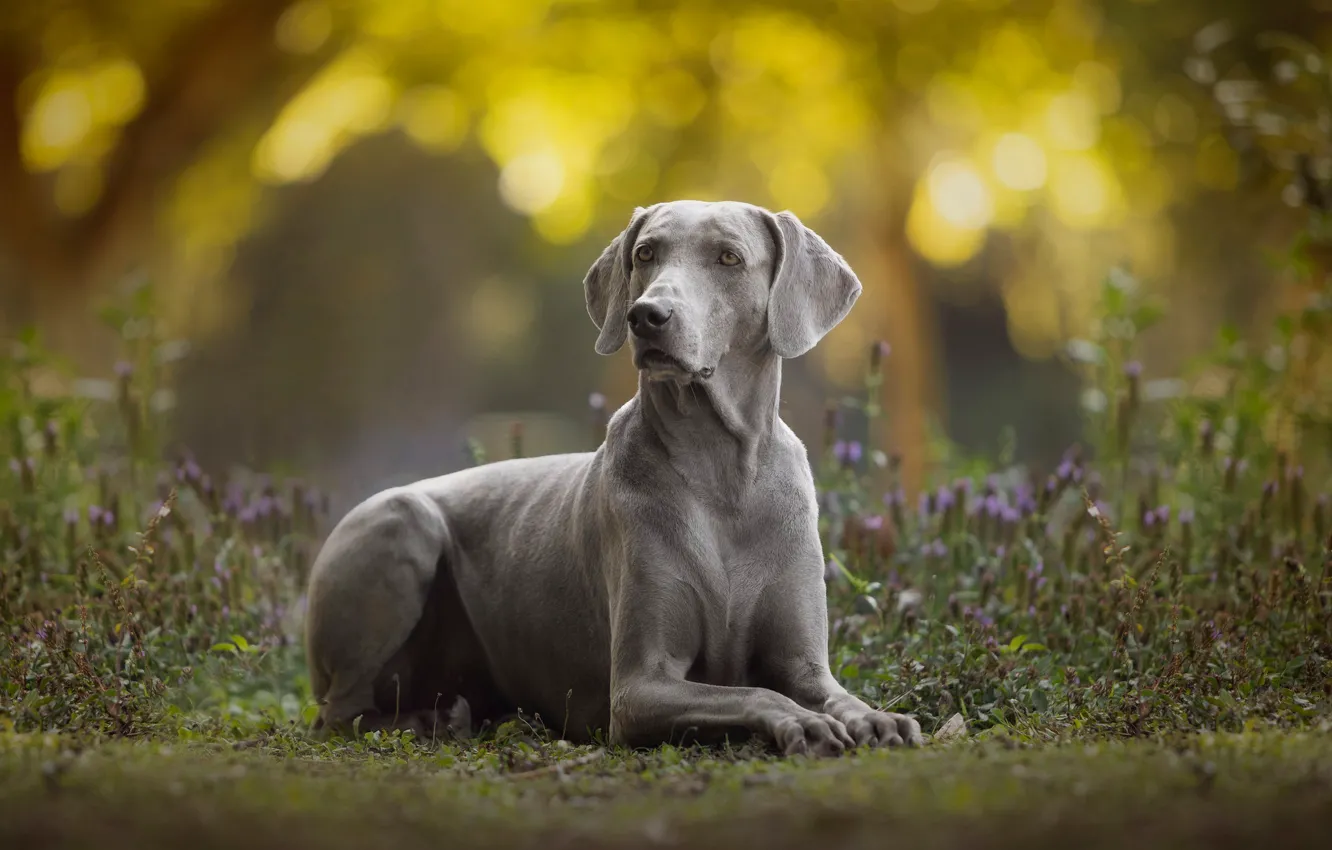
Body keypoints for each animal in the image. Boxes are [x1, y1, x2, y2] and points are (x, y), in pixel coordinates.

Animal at [303, 201, 927, 756]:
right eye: (646, 253)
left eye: (728, 257)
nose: (647, 315)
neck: (720, 472)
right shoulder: (638, 688)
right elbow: (756, 693)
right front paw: (806, 724)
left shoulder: (804, 665)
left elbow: (834, 695)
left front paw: (878, 718)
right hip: (403, 521)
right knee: (340, 713)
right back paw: (427, 721)